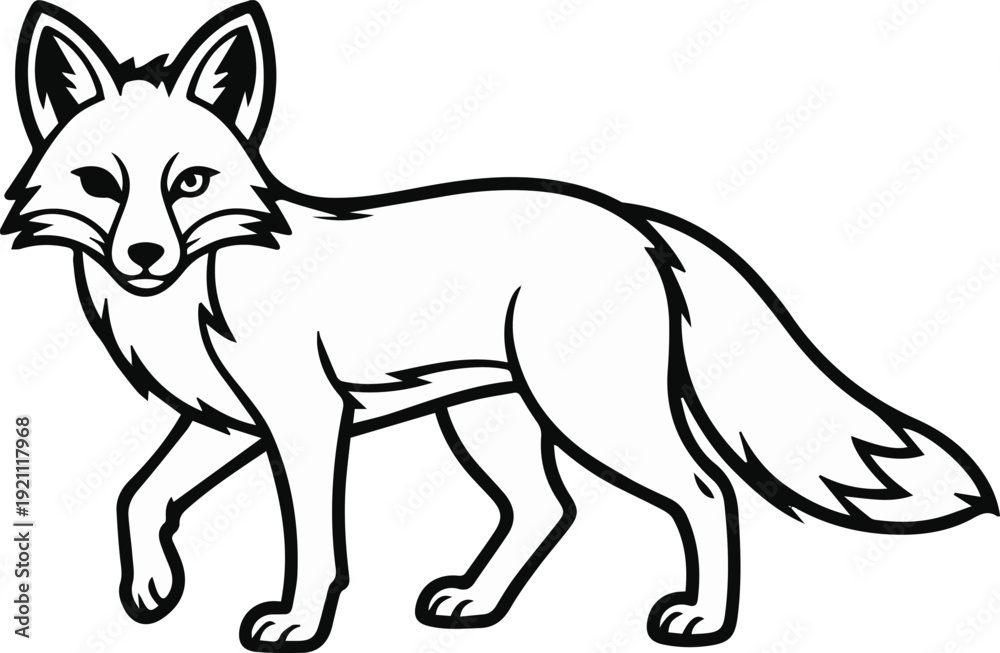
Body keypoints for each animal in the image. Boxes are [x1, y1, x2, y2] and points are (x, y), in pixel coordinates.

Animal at [3, 2, 996, 651]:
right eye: (100, 184)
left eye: (190, 183)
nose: (143, 255)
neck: (197, 294)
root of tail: (631, 215)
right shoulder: (226, 424)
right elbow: (139, 497)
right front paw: (149, 590)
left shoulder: (307, 424)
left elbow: (315, 545)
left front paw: (296, 621)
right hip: (491, 421)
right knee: (546, 509)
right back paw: (476, 605)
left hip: (592, 415)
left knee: (708, 490)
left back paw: (704, 619)